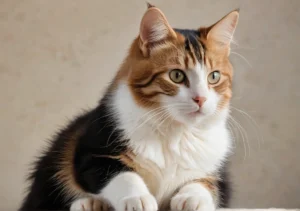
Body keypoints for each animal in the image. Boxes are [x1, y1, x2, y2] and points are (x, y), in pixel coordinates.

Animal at [18, 3, 239, 211]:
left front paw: (192, 198)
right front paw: (137, 198)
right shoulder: (91, 150)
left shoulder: (219, 172)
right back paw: (89, 204)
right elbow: (121, 174)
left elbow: (207, 183)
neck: (175, 131)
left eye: (214, 76)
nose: (200, 98)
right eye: (176, 75)